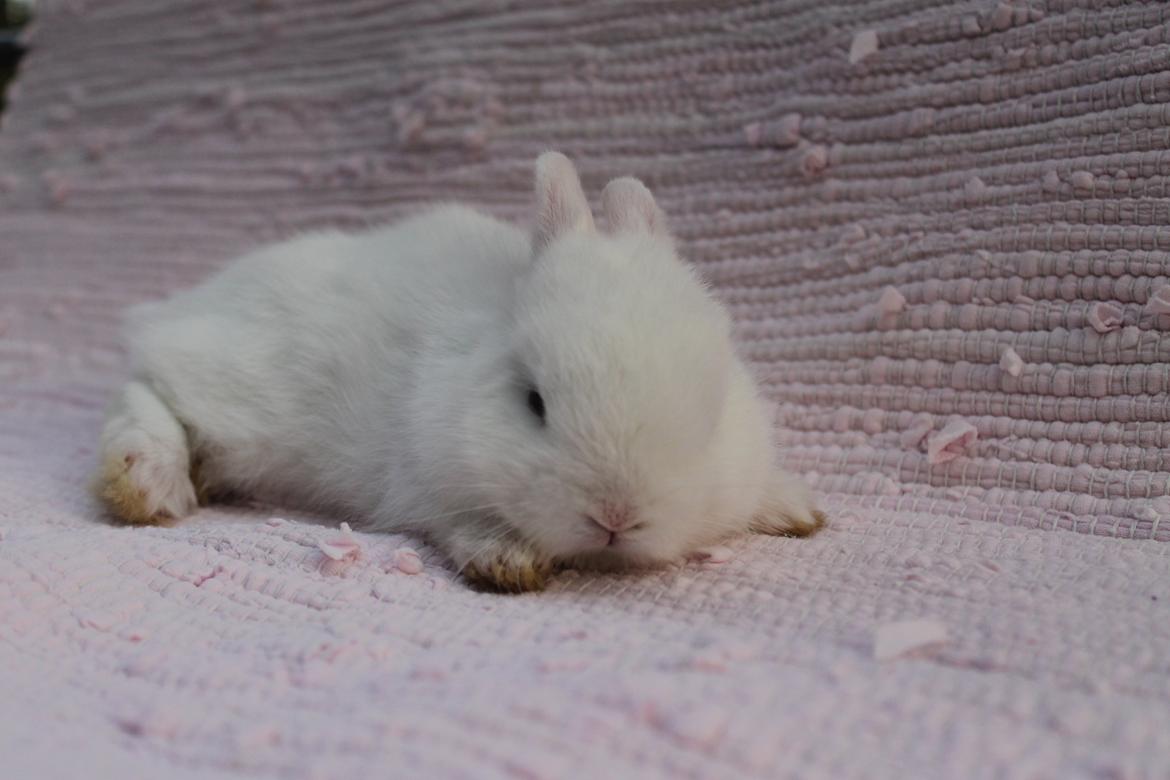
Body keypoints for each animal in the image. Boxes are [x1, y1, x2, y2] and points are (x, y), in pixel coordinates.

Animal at [94, 151, 824, 592]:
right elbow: (458, 520)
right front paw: (508, 562)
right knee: (146, 381)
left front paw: (795, 509)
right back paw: (146, 478)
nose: (616, 517)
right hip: (232, 381)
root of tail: (195, 299)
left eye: (713, 410)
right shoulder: (424, 482)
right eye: (532, 402)